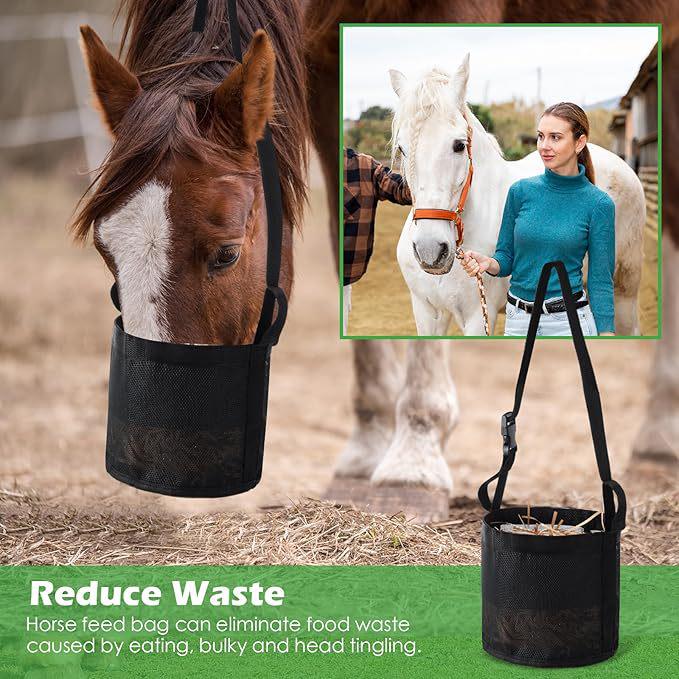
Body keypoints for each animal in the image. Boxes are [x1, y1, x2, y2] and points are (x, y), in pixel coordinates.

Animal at [305, 0, 678, 521]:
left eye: (458, 145)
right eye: (401, 149)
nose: (432, 251)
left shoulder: (472, 318)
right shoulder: (427, 311)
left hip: (624, 289)